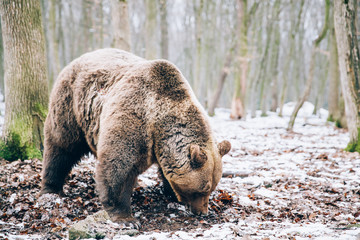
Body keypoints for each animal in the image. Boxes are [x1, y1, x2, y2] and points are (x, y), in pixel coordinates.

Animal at [39, 47, 231, 222]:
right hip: (71, 107)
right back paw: (51, 188)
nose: (203, 212)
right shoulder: (134, 120)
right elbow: (118, 168)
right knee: (61, 148)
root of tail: (78, 58)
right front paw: (124, 216)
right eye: (202, 189)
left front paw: (170, 192)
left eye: (212, 187)